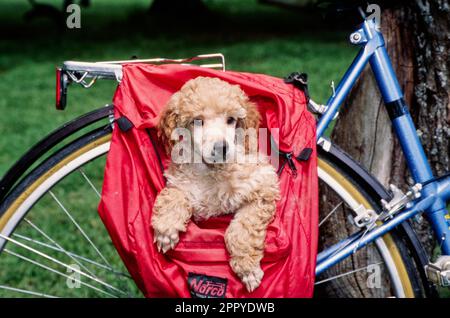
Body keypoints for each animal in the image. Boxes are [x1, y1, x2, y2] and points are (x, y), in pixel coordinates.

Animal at [153, 76, 280, 292]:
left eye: (230, 120)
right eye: (197, 121)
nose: (221, 148)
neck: (210, 170)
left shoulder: (263, 185)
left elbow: (242, 229)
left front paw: (247, 269)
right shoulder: (179, 181)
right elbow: (173, 194)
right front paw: (166, 228)